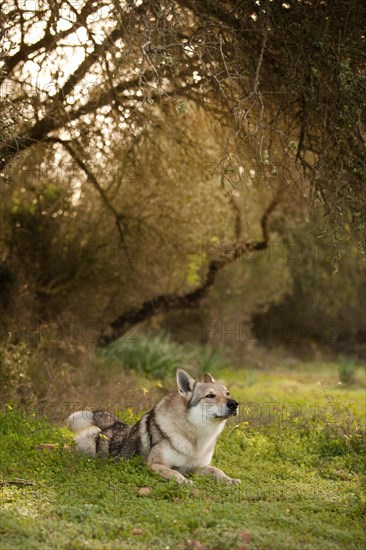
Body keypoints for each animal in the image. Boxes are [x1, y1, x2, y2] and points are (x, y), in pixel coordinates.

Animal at [67, 368, 242, 486]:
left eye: (227, 393)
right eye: (210, 396)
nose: (235, 404)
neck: (195, 438)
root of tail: (111, 424)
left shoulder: (197, 468)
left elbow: (217, 470)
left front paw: (230, 479)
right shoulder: (155, 465)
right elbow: (175, 473)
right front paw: (186, 482)